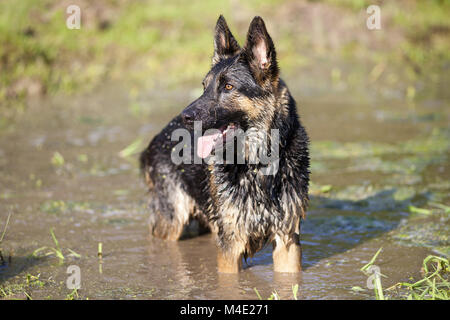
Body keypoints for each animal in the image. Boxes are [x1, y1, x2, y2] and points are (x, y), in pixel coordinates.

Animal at [141, 15, 310, 272]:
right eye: (204, 86)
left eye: (228, 87)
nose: (185, 117)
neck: (257, 164)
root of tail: (157, 138)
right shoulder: (231, 243)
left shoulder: (287, 240)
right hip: (172, 222)